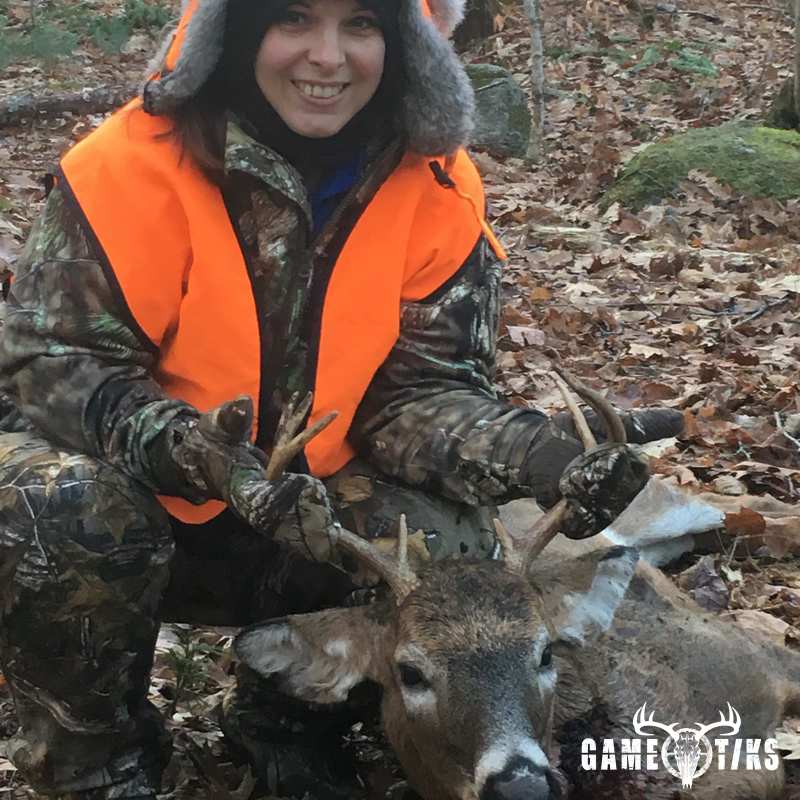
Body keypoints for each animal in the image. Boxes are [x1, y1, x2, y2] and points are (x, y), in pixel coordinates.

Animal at [233, 375, 800, 800]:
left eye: (546, 651)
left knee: (747, 507)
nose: (521, 786)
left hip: (658, 502)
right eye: (409, 672)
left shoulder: (752, 657)